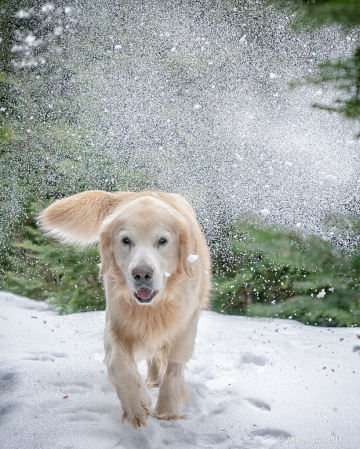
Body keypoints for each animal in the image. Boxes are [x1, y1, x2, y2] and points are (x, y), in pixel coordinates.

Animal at [39, 190, 211, 428]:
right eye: (126, 240)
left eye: (162, 241)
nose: (142, 274)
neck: (152, 306)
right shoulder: (116, 323)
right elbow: (117, 363)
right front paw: (135, 404)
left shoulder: (185, 325)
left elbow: (174, 369)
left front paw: (166, 412)